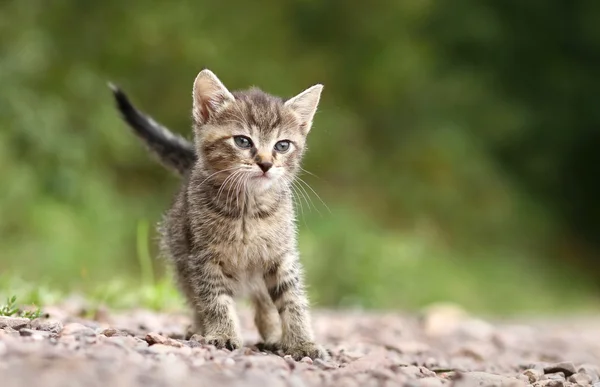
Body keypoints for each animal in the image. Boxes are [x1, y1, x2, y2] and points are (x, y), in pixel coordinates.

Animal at [110, 69, 330, 360]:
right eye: (242, 141)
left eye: (282, 145)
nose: (266, 164)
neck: (248, 209)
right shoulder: (204, 258)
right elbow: (215, 300)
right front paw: (223, 334)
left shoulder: (281, 256)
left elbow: (293, 301)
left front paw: (302, 343)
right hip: (181, 260)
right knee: (195, 299)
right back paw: (199, 328)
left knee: (263, 303)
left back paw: (272, 336)